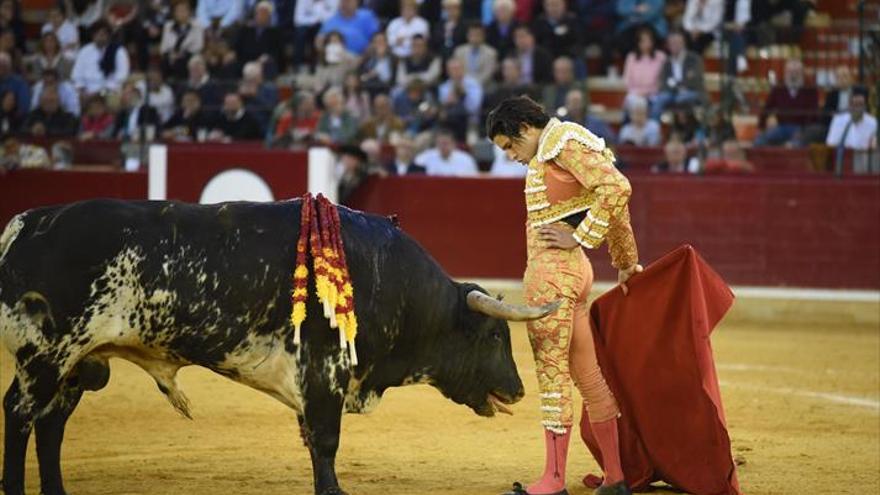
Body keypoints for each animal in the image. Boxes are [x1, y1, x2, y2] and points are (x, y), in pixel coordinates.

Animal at [1, 200, 556, 495]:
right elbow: (326, 442)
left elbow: (314, 441)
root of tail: (26, 224)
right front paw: (333, 491)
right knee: (21, 413)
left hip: (78, 363)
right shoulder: (326, 374)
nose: (518, 389)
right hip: (49, 354)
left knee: (51, 425)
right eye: (493, 336)